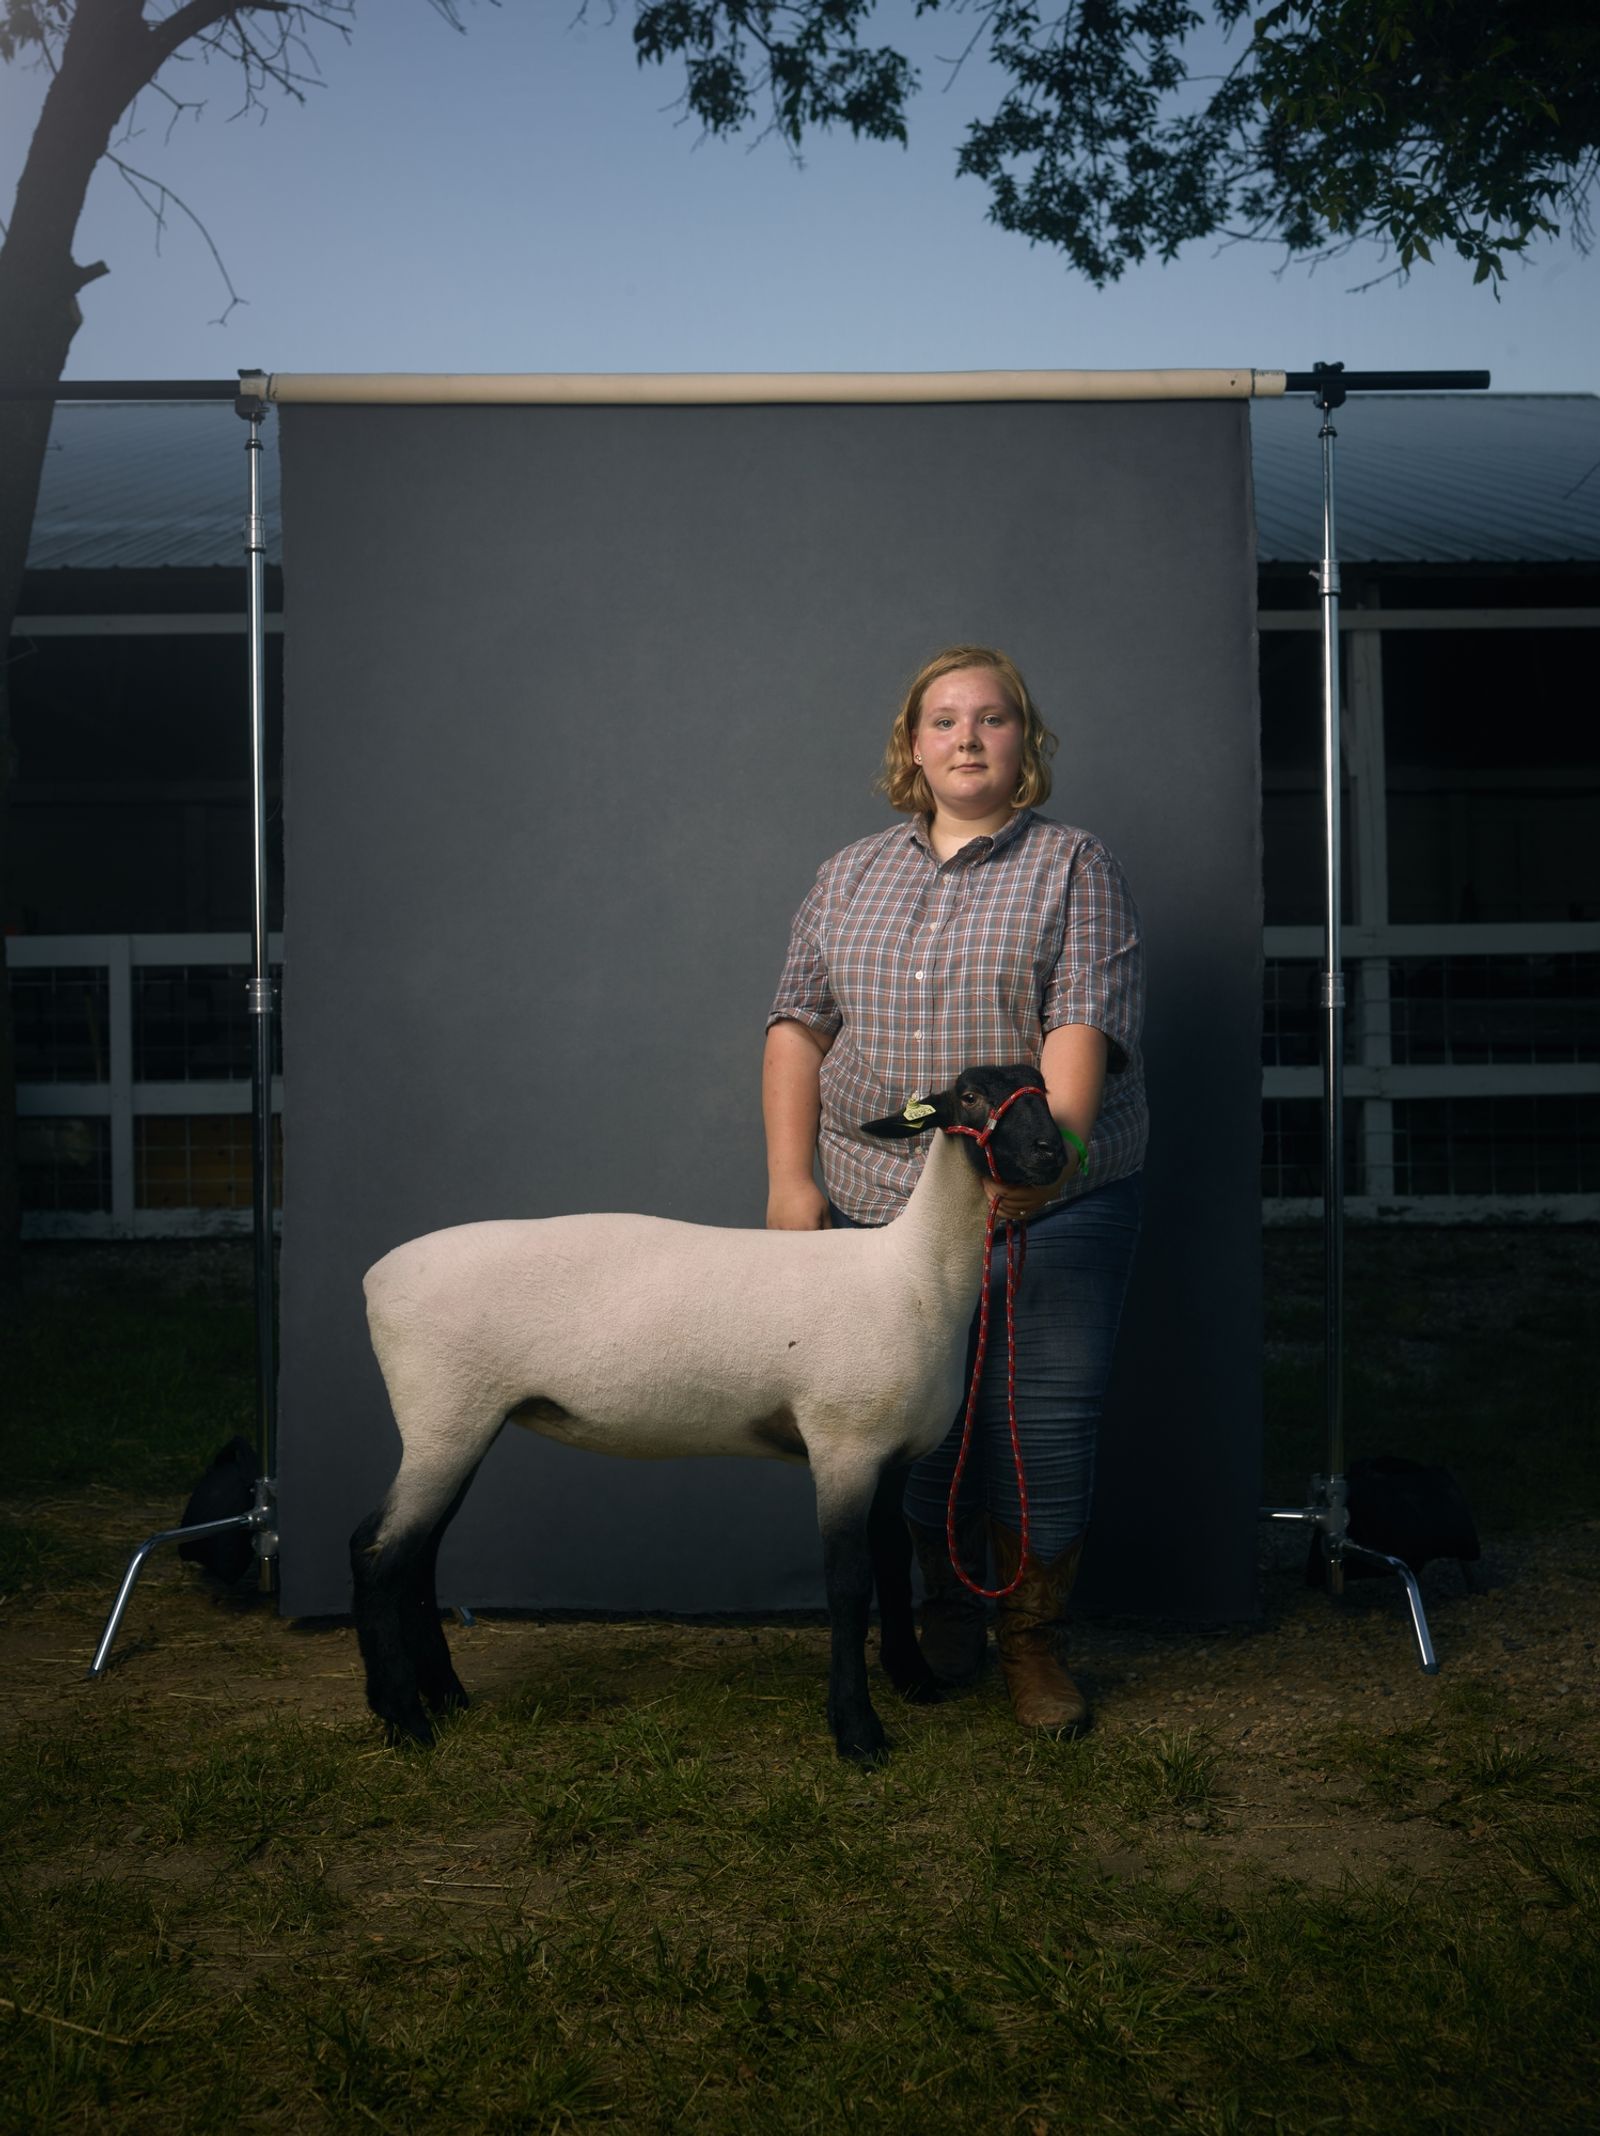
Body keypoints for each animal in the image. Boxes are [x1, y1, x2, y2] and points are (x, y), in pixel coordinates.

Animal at [354, 1059, 1068, 1760]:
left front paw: (915, 1680)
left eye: (1044, 1086)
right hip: (441, 1414)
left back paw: (446, 1697)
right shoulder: (843, 1443)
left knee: (418, 1557)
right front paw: (857, 1731)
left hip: (463, 1422)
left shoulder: (891, 1453)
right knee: (376, 1554)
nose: (1050, 1151)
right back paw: (404, 1721)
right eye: (970, 1096)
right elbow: (848, 1583)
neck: (915, 1277)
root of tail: (376, 1278)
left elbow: (893, 1564)